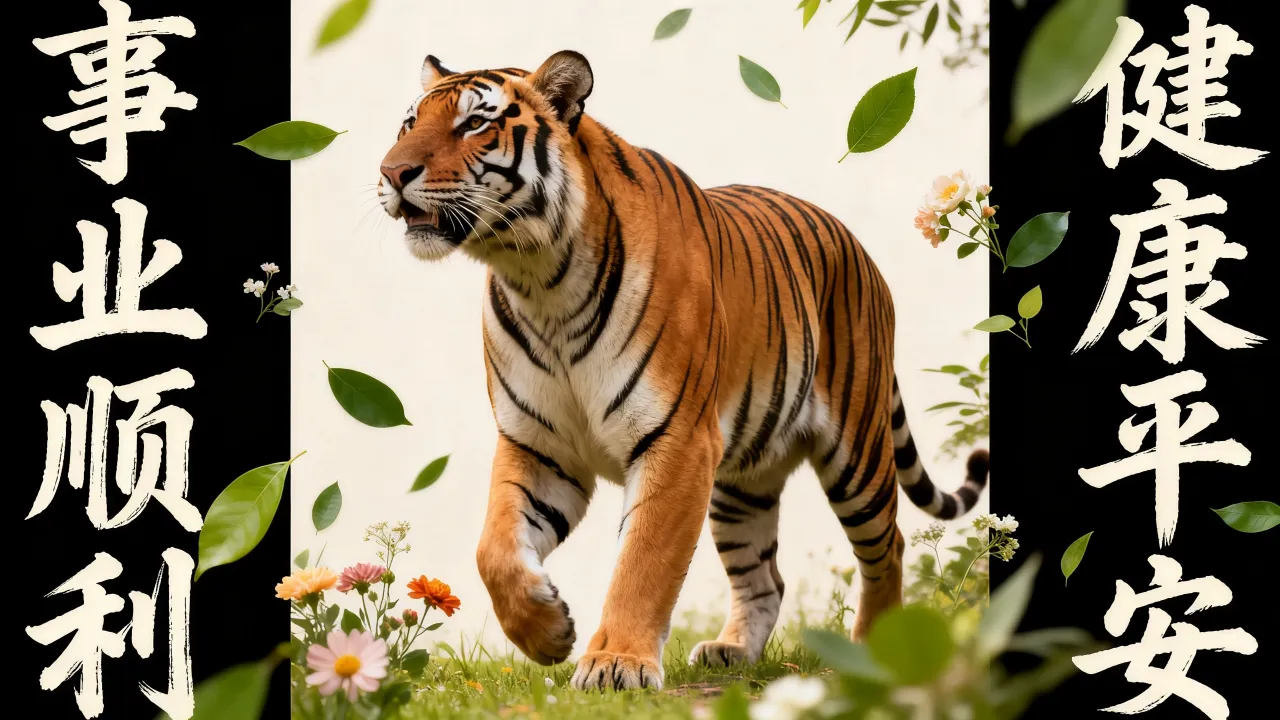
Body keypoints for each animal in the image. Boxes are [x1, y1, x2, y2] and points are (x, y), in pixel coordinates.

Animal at [377, 51, 989, 691]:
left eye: (474, 124)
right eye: (409, 122)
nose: (391, 172)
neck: (539, 279)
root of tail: (862, 252)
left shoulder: (676, 441)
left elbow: (644, 561)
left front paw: (615, 663)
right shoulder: (539, 445)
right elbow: (493, 549)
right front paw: (547, 632)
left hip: (858, 454)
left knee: (887, 547)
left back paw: (878, 654)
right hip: (741, 483)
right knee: (765, 576)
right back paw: (732, 650)